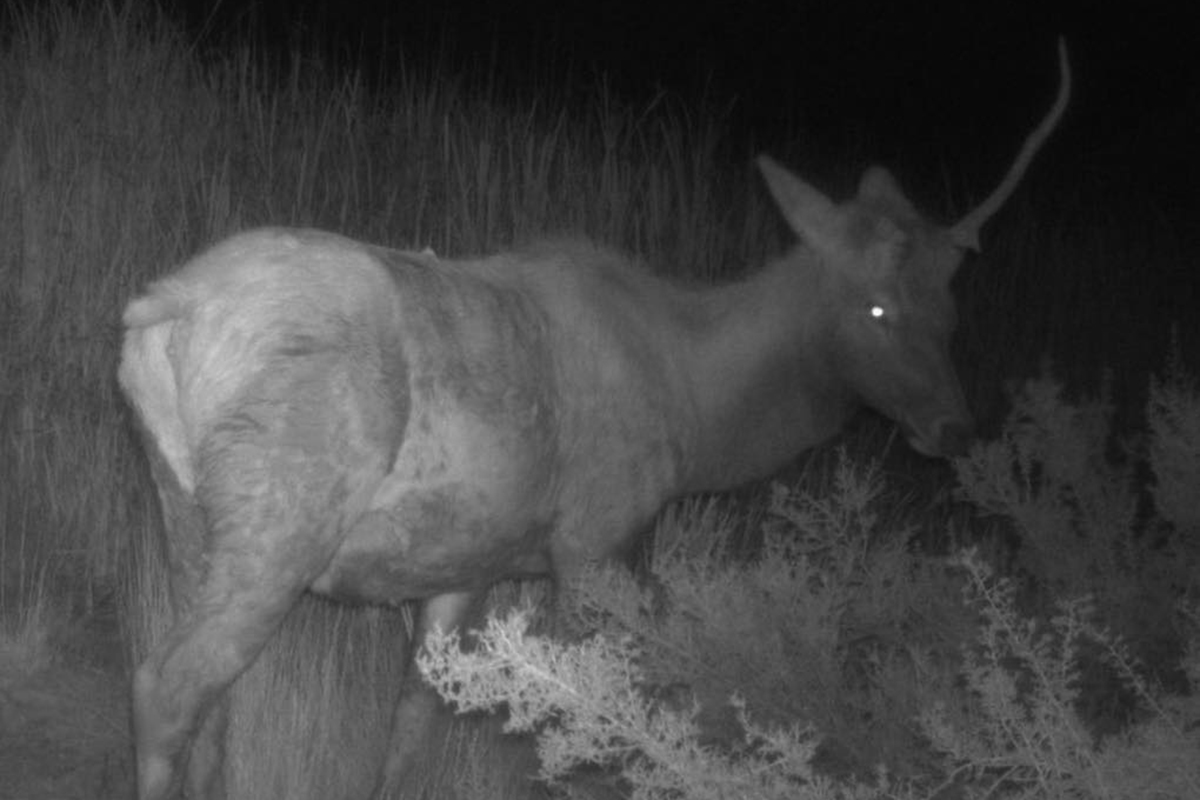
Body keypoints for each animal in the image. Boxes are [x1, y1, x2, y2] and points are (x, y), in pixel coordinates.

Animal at [117, 42, 1070, 800]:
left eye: (950, 307)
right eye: (876, 309)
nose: (956, 428)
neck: (697, 412)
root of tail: (164, 309)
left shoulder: (463, 564)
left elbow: (416, 727)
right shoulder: (596, 542)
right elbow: (579, 730)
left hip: (186, 512)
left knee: (211, 700)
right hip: (282, 513)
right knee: (167, 685)